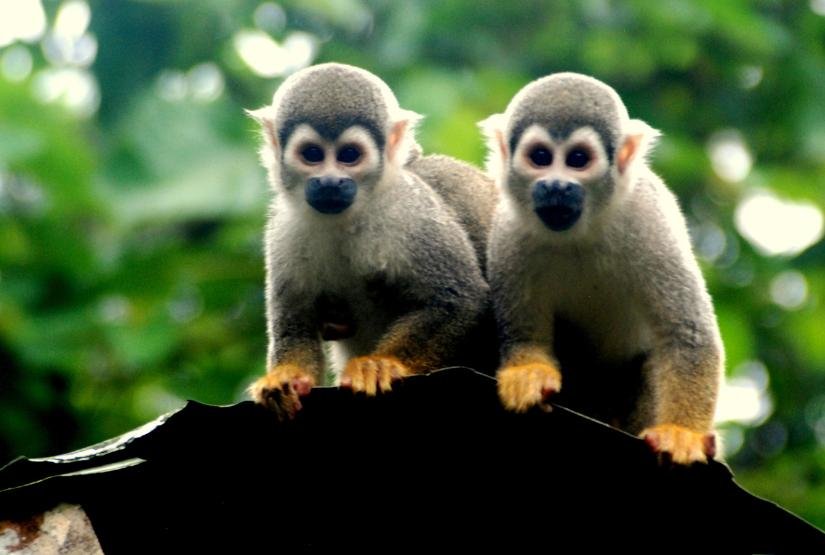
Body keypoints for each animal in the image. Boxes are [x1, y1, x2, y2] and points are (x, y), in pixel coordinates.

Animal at [246, 63, 497, 419]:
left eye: (350, 155)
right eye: (312, 154)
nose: (330, 182)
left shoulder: (412, 210)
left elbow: (458, 298)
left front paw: (379, 364)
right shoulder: (283, 230)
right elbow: (294, 324)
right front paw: (285, 379)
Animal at [480, 72, 723, 464]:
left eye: (578, 159)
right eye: (541, 157)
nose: (556, 185)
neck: (581, 232)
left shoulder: (648, 219)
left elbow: (685, 333)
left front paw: (682, 434)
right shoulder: (509, 230)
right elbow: (523, 332)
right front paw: (528, 376)